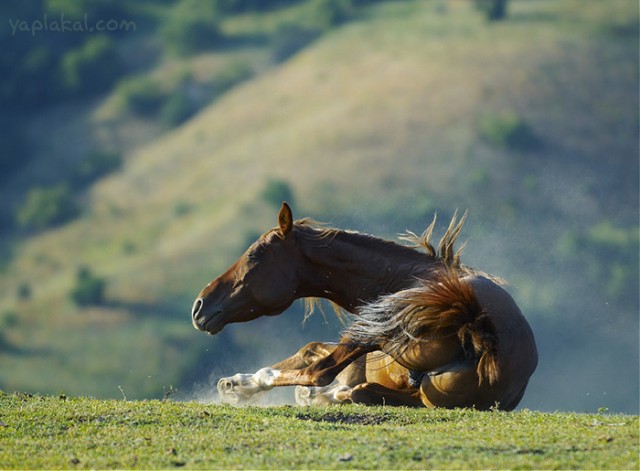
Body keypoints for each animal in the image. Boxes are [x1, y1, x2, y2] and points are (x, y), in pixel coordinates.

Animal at [189, 205, 536, 412]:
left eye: (254, 256)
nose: (199, 306)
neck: (407, 275)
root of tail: (478, 326)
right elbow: (309, 349)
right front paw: (236, 385)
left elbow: (313, 364)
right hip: (418, 387)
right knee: (361, 390)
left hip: (376, 335)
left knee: (321, 375)